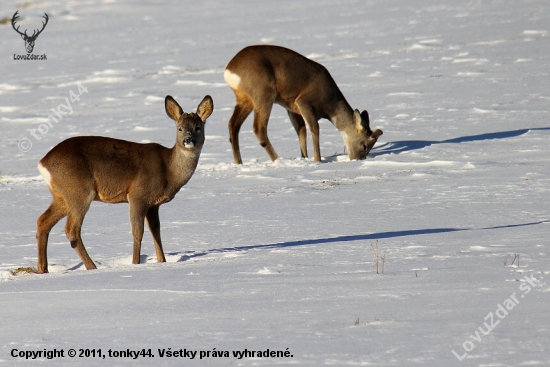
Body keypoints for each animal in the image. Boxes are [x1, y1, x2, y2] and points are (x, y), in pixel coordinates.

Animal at [35, 95, 215, 274]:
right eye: (180, 128)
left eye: (198, 127)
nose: (188, 140)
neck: (168, 170)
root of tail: (43, 163)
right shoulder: (138, 194)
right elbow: (138, 232)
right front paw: (136, 263)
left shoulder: (154, 204)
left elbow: (156, 231)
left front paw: (162, 261)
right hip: (79, 191)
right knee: (71, 230)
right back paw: (92, 267)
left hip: (61, 196)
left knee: (42, 221)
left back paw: (43, 269)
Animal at [224, 44, 384, 164]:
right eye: (364, 145)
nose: (358, 159)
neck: (330, 106)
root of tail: (229, 71)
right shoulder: (303, 101)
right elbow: (314, 128)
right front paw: (317, 160)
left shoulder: (292, 108)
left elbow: (301, 131)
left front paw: (304, 158)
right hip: (263, 93)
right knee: (258, 128)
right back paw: (278, 160)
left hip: (245, 99)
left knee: (233, 124)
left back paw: (239, 162)